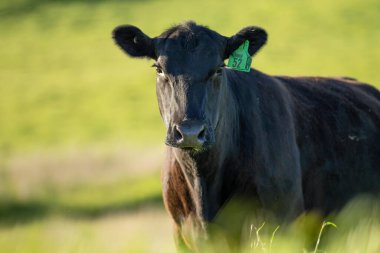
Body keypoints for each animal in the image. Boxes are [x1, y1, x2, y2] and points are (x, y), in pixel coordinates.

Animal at [113, 20, 380, 250]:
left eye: (219, 68)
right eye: (159, 68)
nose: (190, 132)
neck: (203, 185)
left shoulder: (282, 225)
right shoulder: (181, 234)